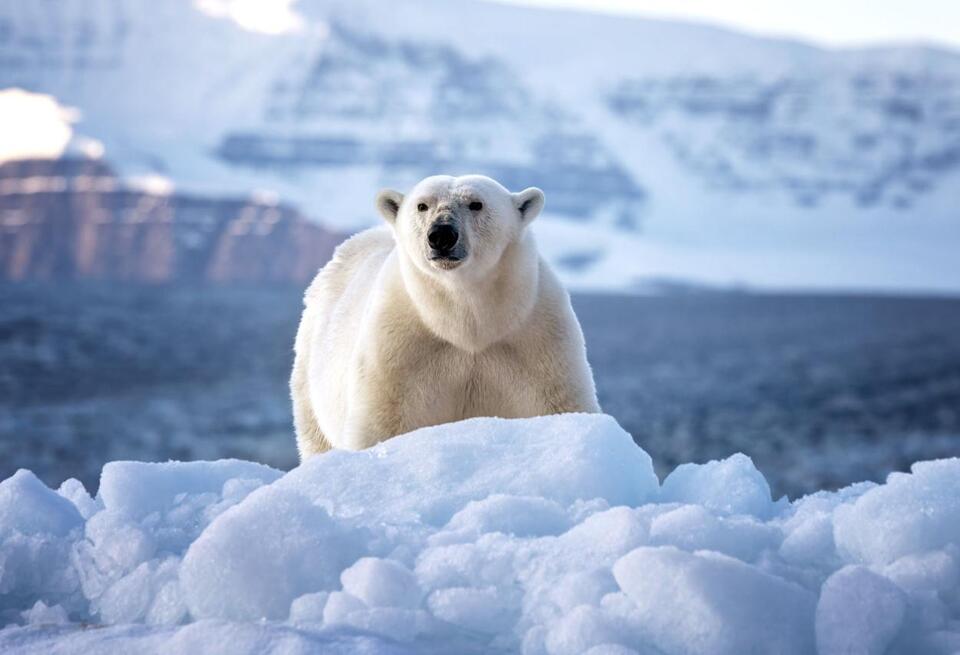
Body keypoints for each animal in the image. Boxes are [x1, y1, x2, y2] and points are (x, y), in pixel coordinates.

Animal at [290, 174, 600, 457]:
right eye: (422, 205)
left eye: (476, 204)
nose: (441, 235)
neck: (465, 322)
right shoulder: (399, 349)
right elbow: (383, 423)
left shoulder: (537, 340)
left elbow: (557, 403)